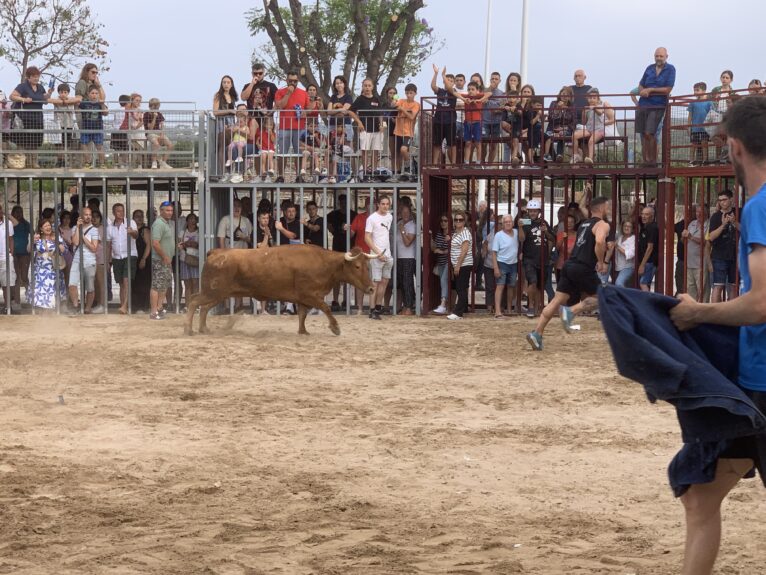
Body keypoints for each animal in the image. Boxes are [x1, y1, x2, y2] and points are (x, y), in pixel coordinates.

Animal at [186, 244, 378, 336]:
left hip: (218, 294)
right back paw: (189, 330)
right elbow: (326, 308)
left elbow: (302, 315)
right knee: (193, 301)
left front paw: (303, 331)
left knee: (203, 307)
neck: (324, 263)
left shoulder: (303, 299)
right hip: (213, 292)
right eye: (357, 266)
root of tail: (216, 253)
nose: (371, 288)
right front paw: (335, 328)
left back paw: (204, 329)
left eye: (368, 266)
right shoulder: (310, 295)